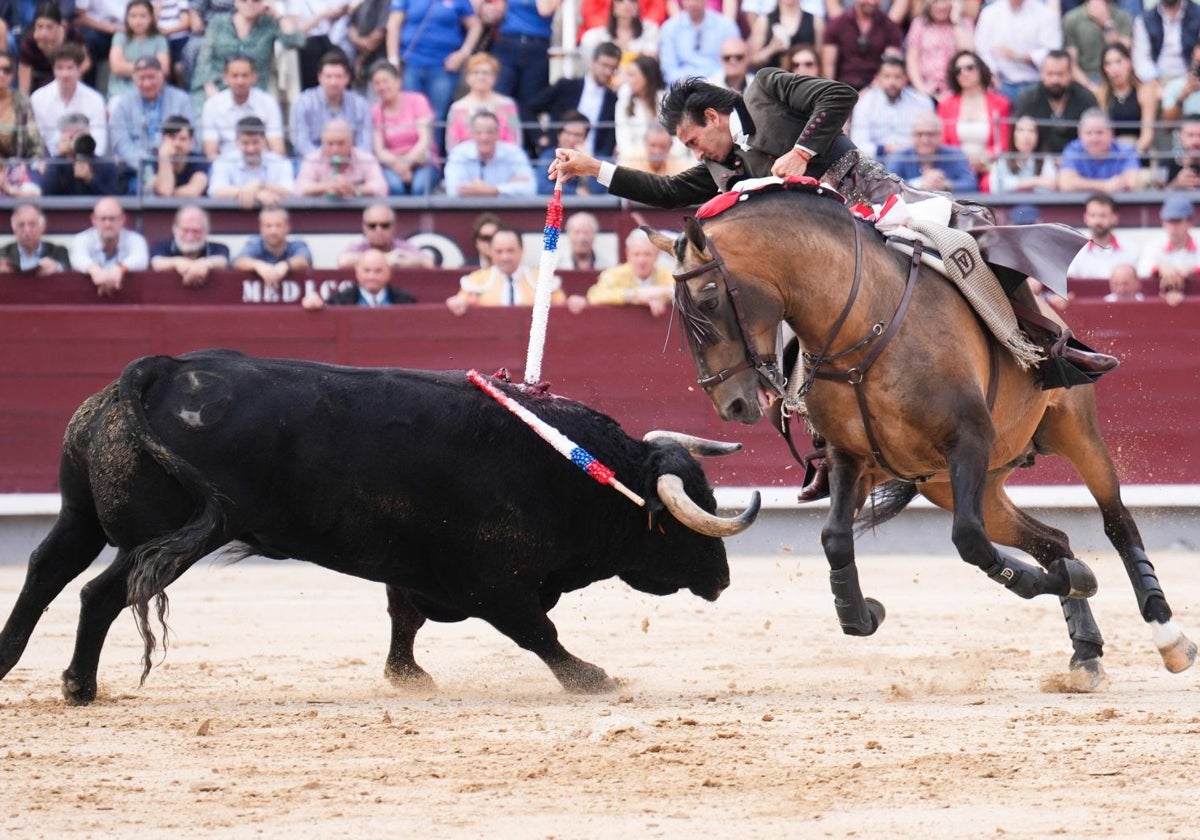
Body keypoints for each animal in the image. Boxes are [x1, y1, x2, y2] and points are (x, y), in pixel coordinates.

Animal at [0, 350, 758, 700]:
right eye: (687, 520)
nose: (723, 579)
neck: (577, 472)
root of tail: (157, 371)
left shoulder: (418, 568)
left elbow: (404, 618)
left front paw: (407, 677)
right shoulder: (495, 583)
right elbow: (537, 631)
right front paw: (592, 678)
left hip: (81, 513)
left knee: (45, 569)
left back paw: (9, 660)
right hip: (171, 535)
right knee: (98, 592)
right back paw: (78, 686)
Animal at [652, 184, 1195, 691]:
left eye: (709, 300)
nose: (732, 405)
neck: (858, 327)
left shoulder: (968, 440)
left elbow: (969, 541)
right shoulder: (850, 456)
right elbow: (835, 539)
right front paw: (862, 612)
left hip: (1072, 431)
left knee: (1117, 522)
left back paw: (1169, 640)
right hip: (956, 484)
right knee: (1052, 539)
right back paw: (1085, 651)